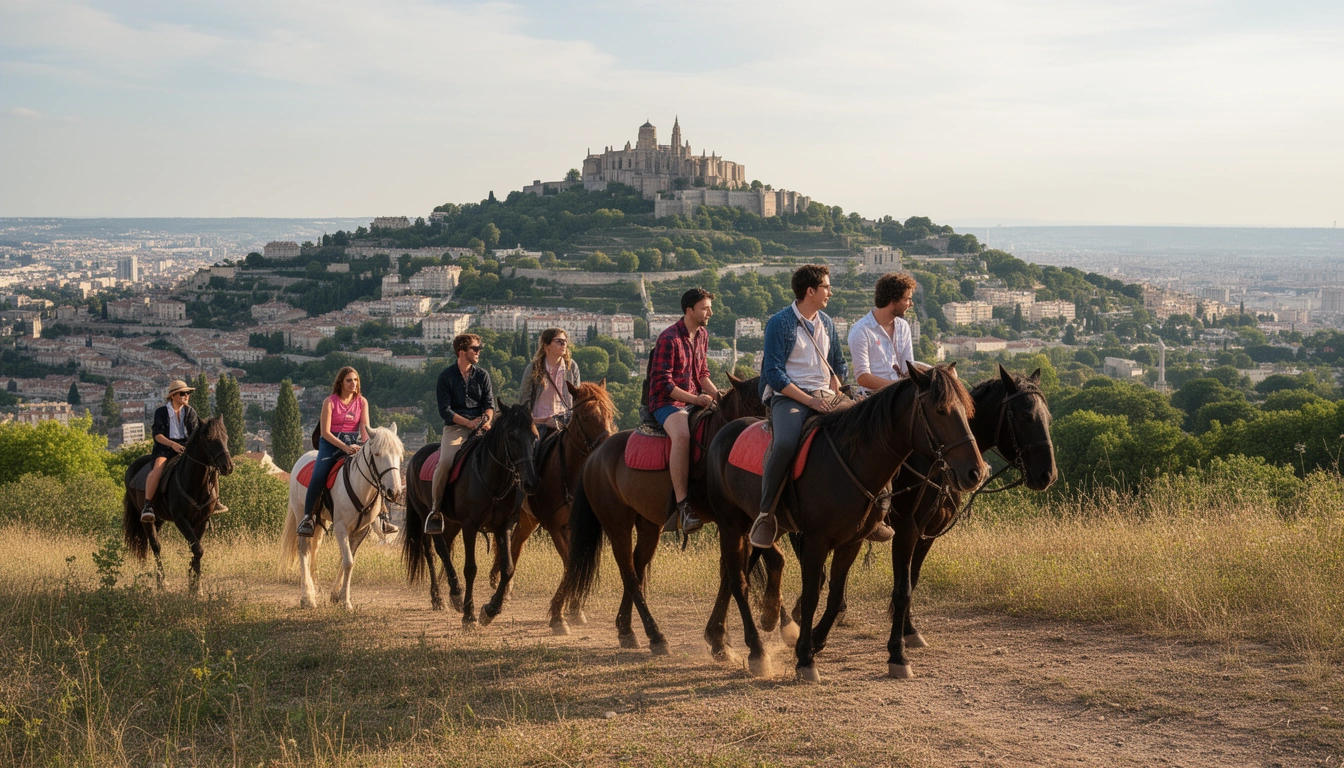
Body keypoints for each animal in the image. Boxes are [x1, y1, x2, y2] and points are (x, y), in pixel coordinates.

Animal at [122, 416, 235, 593]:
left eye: (226, 437)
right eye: (209, 439)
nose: (227, 466)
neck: (195, 483)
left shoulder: (201, 521)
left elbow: (196, 548)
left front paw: (195, 584)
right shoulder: (180, 519)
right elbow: (197, 549)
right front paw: (194, 586)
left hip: (159, 519)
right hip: (146, 519)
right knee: (155, 546)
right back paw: (162, 582)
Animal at [278, 424, 405, 610]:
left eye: (399, 455)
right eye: (377, 454)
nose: (394, 492)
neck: (360, 486)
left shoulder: (360, 531)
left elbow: (346, 560)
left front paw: (337, 595)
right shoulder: (341, 527)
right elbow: (348, 561)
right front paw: (345, 601)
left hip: (319, 520)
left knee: (314, 549)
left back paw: (316, 589)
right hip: (301, 513)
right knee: (304, 550)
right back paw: (307, 597)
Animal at [401, 403, 540, 628]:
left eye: (534, 436)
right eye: (511, 436)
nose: (531, 483)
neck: (492, 479)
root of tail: (415, 456)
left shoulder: (503, 527)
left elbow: (507, 568)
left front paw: (491, 610)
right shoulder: (470, 526)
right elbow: (470, 569)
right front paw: (469, 616)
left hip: (451, 522)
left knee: (445, 549)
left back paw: (452, 594)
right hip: (426, 517)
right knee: (434, 551)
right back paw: (441, 597)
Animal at [552, 373, 767, 651]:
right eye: (755, 407)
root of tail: (595, 456)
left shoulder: (739, 527)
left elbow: (729, 576)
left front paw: (718, 635)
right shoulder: (728, 525)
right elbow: (733, 576)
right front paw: (729, 640)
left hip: (648, 527)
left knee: (636, 568)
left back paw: (625, 628)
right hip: (617, 526)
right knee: (629, 574)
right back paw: (655, 635)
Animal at [704, 364, 987, 681]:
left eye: (968, 410)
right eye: (940, 410)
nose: (975, 472)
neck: (852, 461)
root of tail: (725, 432)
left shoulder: (855, 540)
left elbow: (852, 594)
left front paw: (893, 654)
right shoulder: (817, 540)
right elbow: (812, 595)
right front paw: (806, 659)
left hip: (756, 527)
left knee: (738, 571)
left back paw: (728, 637)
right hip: (731, 526)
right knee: (738, 582)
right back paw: (755, 651)